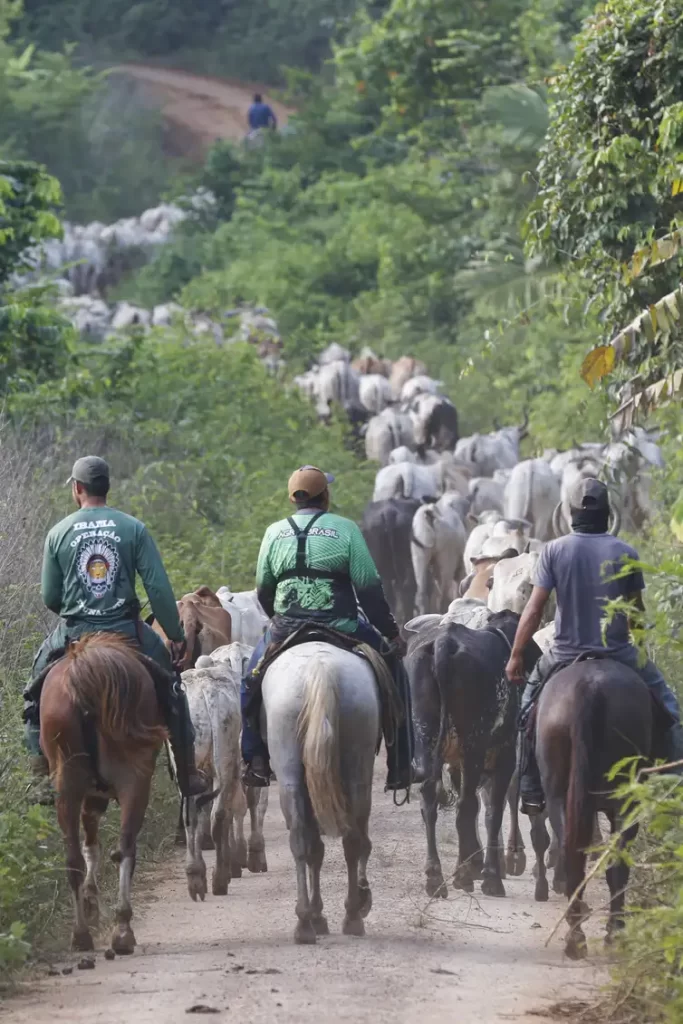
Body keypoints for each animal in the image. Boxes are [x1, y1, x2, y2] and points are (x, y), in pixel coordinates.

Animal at [40, 633, 168, 954]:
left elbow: (91, 845)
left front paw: (91, 901)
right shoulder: (96, 795)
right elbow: (94, 844)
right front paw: (92, 901)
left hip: (74, 786)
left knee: (78, 857)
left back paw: (85, 933)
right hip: (133, 782)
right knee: (121, 848)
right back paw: (118, 930)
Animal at [261, 641, 380, 944]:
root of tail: (320, 669)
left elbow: (315, 848)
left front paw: (317, 914)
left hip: (291, 772)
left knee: (303, 841)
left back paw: (307, 922)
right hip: (357, 766)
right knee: (352, 840)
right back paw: (351, 914)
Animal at [408, 611, 541, 898]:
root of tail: (442, 643)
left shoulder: (457, 763)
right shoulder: (504, 756)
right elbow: (493, 812)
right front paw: (489, 874)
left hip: (426, 742)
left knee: (430, 803)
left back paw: (436, 877)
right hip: (473, 747)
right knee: (465, 806)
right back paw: (465, 876)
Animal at [531, 657, 652, 959]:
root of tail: (590, 687)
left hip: (560, 795)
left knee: (574, 853)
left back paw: (577, 935)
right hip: (623, 800)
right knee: (614, 863)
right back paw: (609, 933)